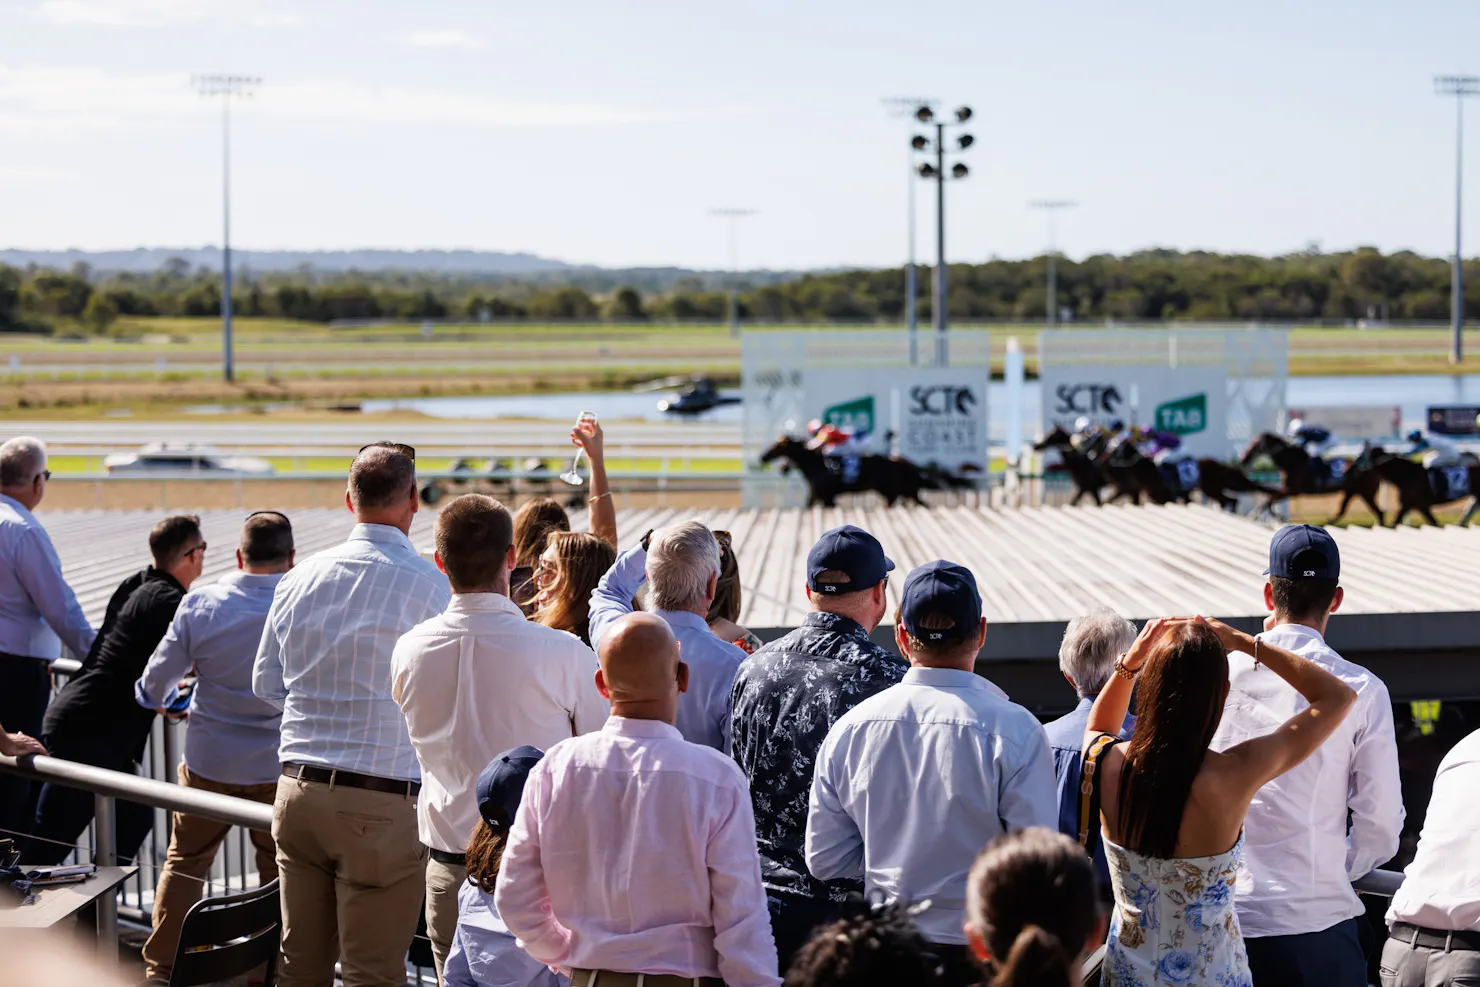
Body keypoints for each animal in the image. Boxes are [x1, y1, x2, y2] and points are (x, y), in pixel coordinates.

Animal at [763, 435, 935, 506]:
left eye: (777, 446)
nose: (763, 457)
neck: (816, 464)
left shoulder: (827, 497)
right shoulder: (817, 496)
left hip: (890, 492)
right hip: (906, 491)